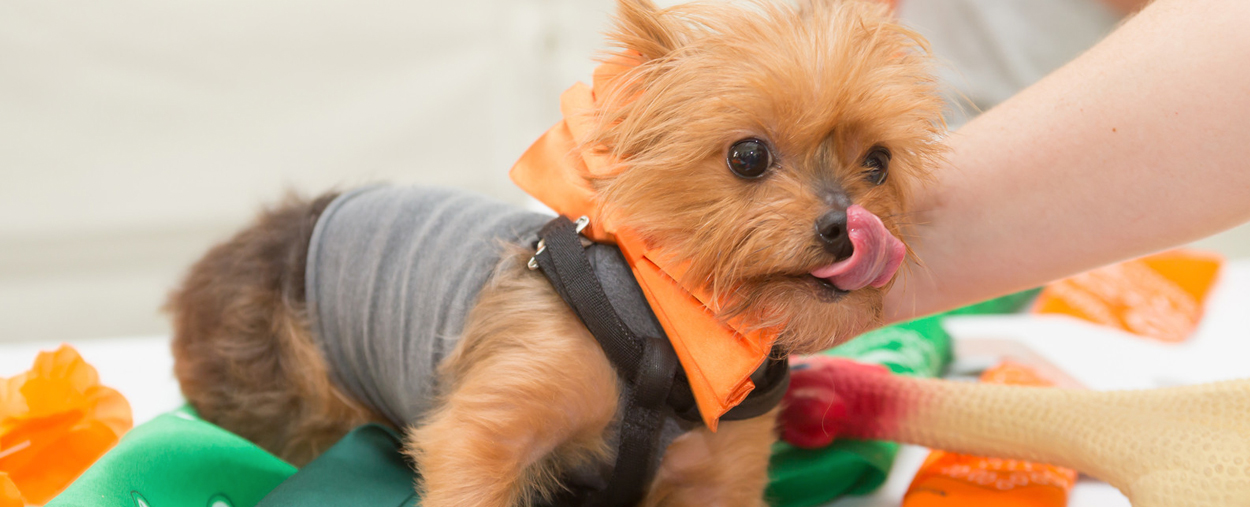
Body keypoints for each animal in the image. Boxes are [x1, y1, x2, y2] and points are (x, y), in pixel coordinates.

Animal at [171, 0, 940, 504]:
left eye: (878, 163)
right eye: (748, 156)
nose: (848, 227)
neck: (668, 327)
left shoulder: (719, 476)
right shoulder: (482, 435)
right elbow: (469, 466)